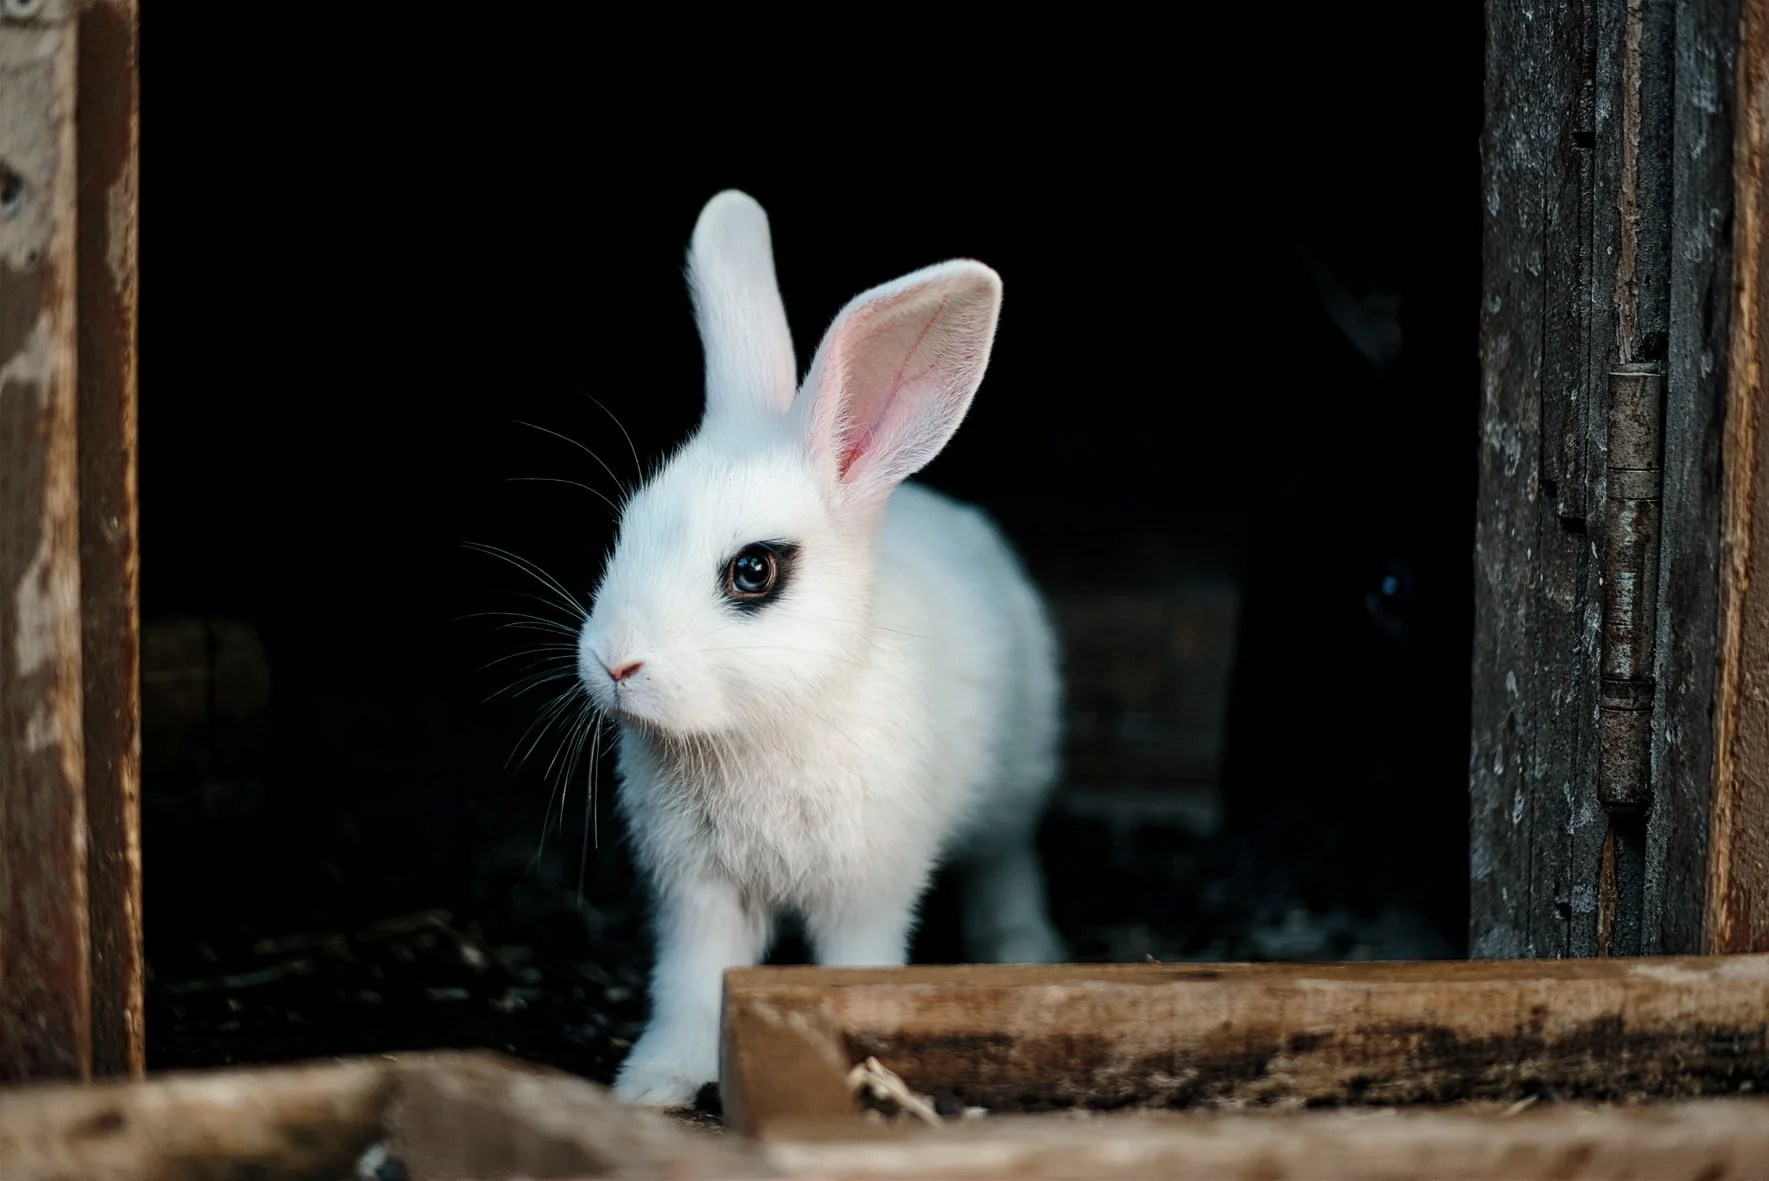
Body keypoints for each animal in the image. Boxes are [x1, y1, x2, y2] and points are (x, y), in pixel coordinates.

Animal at [577, 190, 1065, 1106]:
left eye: (753, 571)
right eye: (625, 532)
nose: (614, 663)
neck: (761, 727)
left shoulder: (867, 886)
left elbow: (857, 960)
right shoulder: (696, 894)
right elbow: (689, 987)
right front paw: (654, 1086)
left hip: (1013, 787)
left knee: (1004, 861)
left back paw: (1022, 948)